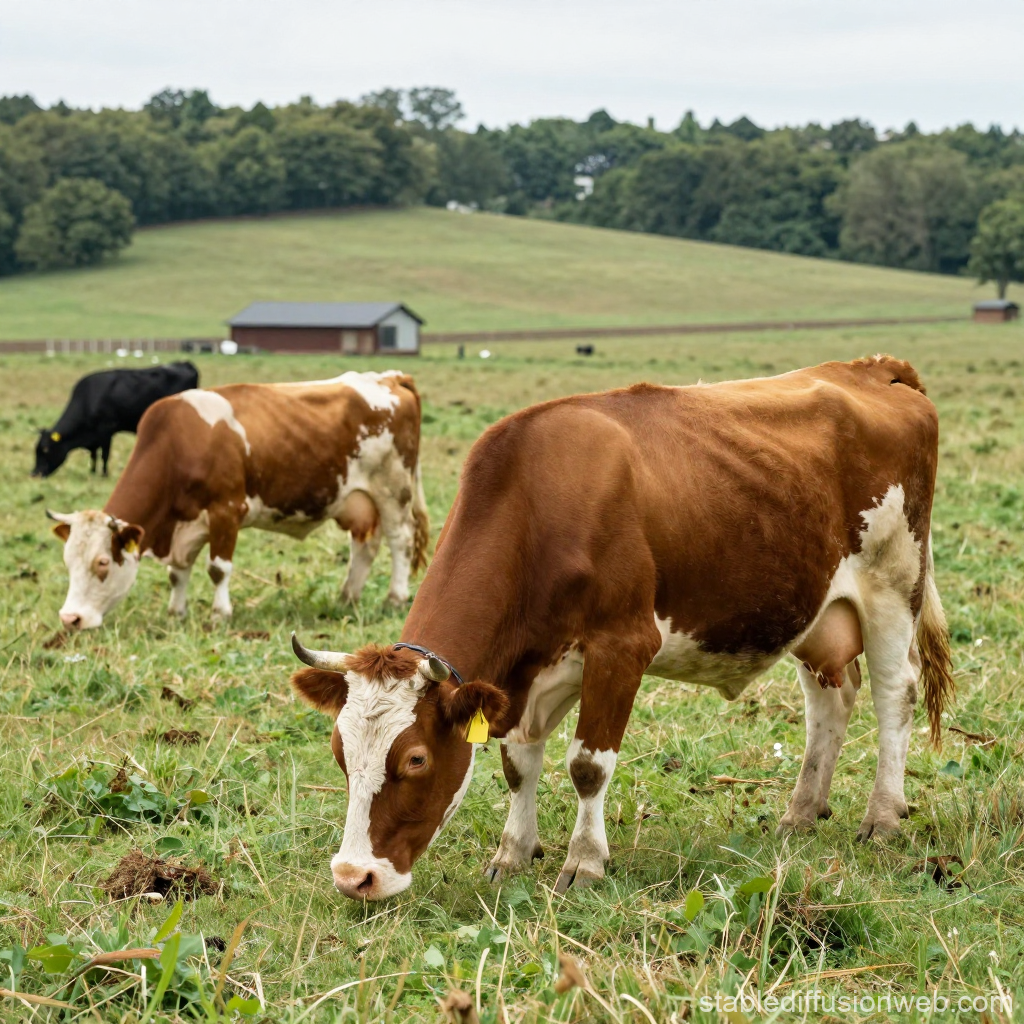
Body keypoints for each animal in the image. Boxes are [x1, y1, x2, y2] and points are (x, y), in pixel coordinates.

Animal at [33, 361, 199, 478]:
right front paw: (92, 472)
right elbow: (94, 455)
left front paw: (104, 474)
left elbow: (104, 455)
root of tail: (184, 363)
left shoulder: (106, 430)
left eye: (45, 449)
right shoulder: (94, 438)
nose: (34, 474)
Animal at [48, 370, 429, 630]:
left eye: (102, 563)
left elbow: (218, 569)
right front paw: (176, 612)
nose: (69, 618)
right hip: (358, 500)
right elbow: (177, 573)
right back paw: (347, 598)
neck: (178, 444)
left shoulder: (227, 511)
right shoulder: (186, 523)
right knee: (364, 546)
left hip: (393, 490)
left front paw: (220, 614)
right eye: (67, 562)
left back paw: (395, 599)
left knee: (400, 541)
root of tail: (390, 377)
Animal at [288, 355, 955, 901]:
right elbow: (518, 763)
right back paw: (800, 812)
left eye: (417, 759)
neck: (538, 502)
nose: (353, 877)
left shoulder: (621, 648)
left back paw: (882, 816)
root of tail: (873, 368)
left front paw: (584, 863)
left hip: (893, 584)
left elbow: (587, 766)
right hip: (813, 609)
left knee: (894, 695)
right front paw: (512, 854)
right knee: (830, 700)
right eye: (340, 754)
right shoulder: (528, 672)